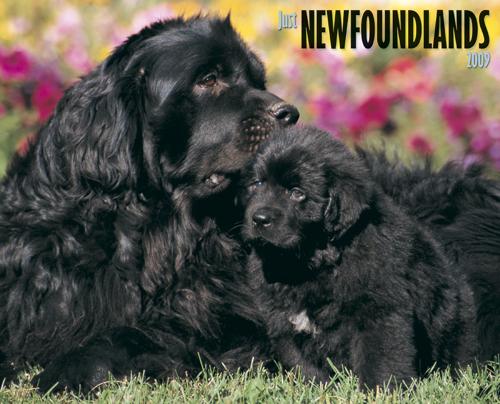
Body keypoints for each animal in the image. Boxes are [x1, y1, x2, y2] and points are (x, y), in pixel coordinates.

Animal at [242, 126, 478, 389]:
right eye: (257, 184)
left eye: (297, 193)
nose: (259, 218)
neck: (311, 264)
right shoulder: (282, 320)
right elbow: (302, 364)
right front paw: (321, 388)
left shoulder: (379, 311)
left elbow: (380, 359)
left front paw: (380, 391)